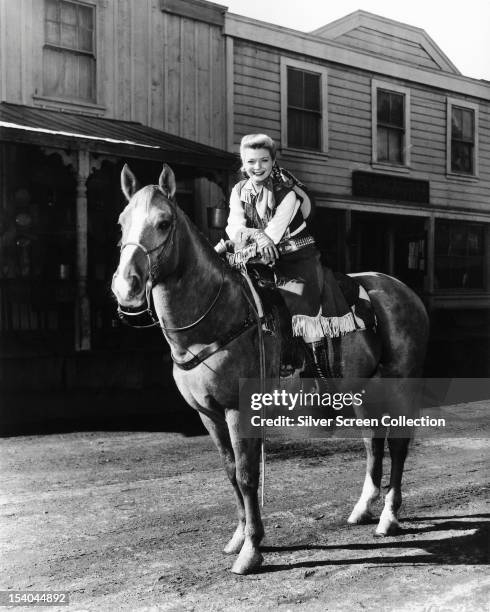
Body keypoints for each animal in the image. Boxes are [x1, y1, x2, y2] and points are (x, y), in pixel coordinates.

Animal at [111, 164, 428, 572]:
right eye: (122, 222)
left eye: (164, 222)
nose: (126, 287)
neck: (218, 316)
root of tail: (403, 290)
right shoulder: (208, 414)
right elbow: (231, 471)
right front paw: (238, 537)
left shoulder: (237, 410)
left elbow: (248, 475)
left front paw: (251, 549)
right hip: (363, 389)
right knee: (373, 442)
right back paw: (362, 509)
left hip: (400, 384)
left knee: (399, 445)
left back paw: (388, 517)